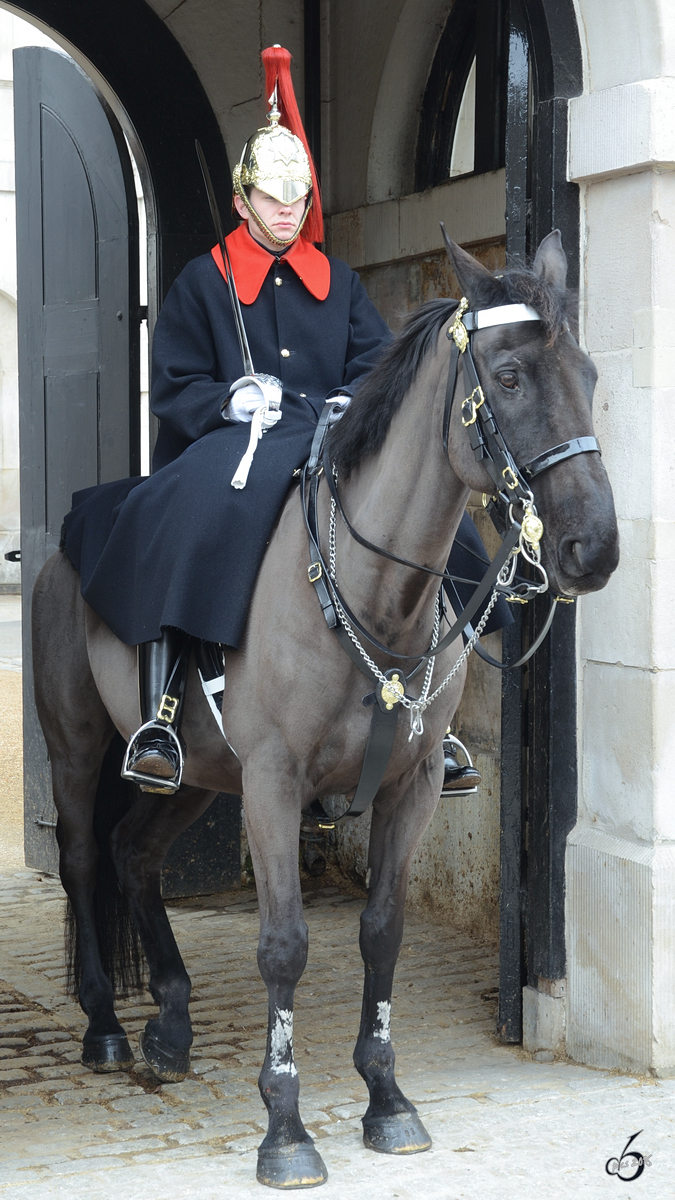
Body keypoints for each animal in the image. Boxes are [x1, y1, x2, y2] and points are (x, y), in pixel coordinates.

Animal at [34, 236, 619, 1190]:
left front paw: (385, 1097)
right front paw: (284, 1128)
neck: (378, 593)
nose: (592, 547)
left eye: (589, 374)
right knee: (85, 860)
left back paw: (171, 1021)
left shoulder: (410, 786)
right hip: (82, 751)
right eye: (506, 376)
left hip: (201, 779)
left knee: (135, 855)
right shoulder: (273, 783)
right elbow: (284, 946)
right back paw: (106, 1025)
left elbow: (381, 933)